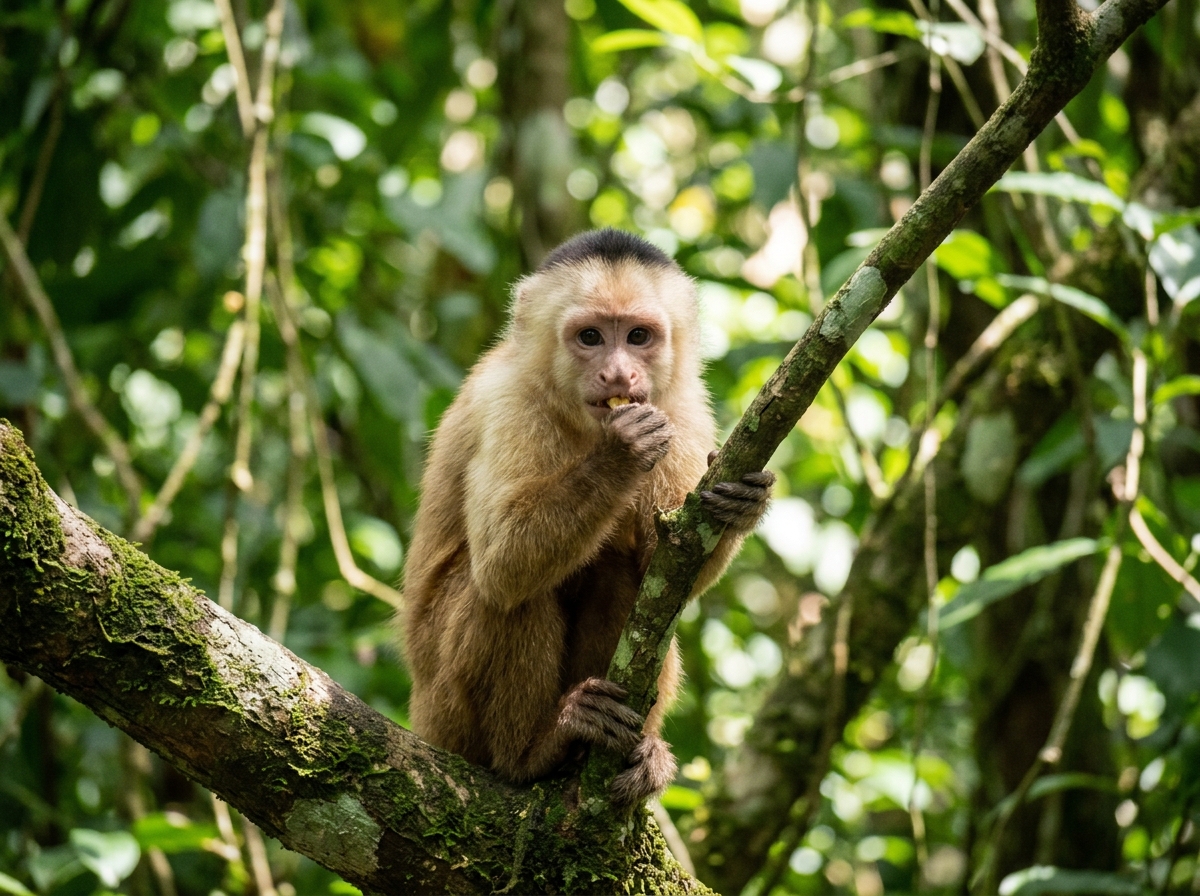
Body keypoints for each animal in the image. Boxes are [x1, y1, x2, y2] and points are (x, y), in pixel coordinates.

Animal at [402, 229, 773, 805]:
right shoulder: (509, 403)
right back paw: (535, 751)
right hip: (443, 717)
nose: (619, 373)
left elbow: (669, 566)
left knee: (618, 574)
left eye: (639, 336)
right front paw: (622, 453)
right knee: (499, 592)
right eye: (591, 337)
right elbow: (503, 561)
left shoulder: (684, 406)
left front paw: (742, 505)